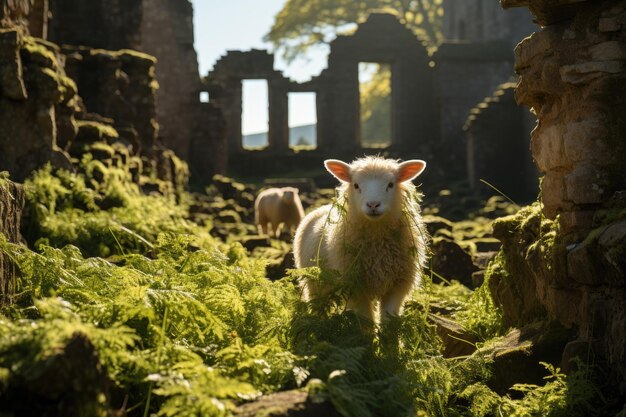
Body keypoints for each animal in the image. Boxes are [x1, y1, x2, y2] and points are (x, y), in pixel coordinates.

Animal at [292, 156, 426, 322]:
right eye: (356, 185)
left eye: (390, 184)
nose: (373, 204)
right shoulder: (354, 288)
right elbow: (366, 321)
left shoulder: (397, 287)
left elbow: (388, 321)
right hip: (314, 284)